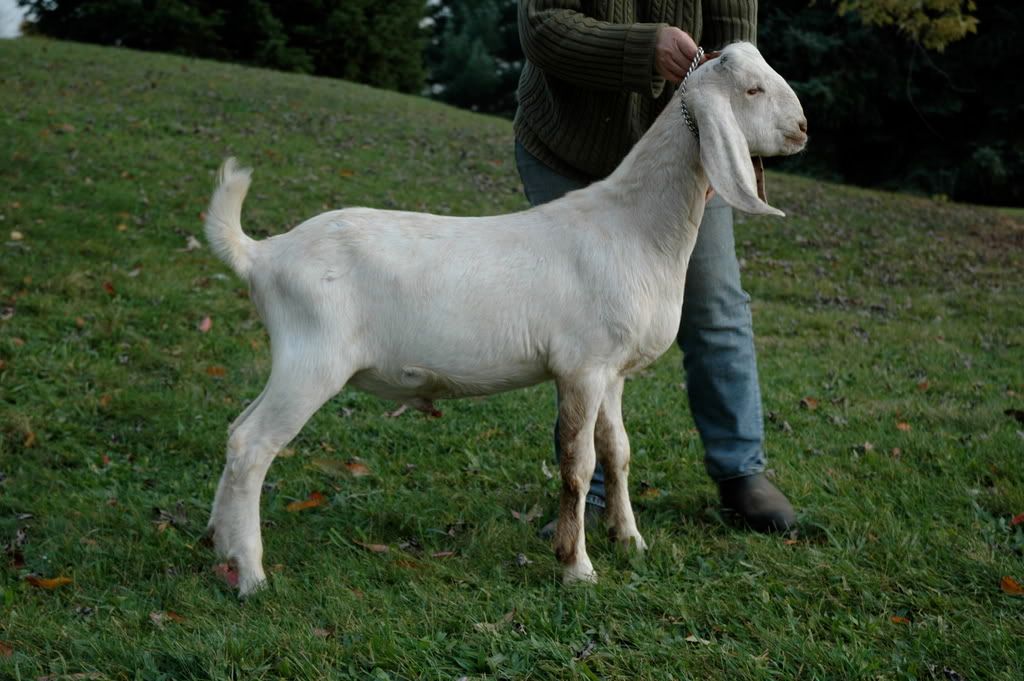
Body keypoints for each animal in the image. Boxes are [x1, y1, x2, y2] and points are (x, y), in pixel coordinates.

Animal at [203, 42, 807, 595]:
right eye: (752, 89)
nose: (803, 128)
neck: (633, 227)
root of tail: (262, 254)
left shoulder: (611, 372)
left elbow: (618, 452)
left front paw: (630, 540)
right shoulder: (581, 367)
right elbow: (577, 462)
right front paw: (576, 565)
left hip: (296, 360)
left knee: (235, 430)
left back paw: (219, 540)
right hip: (313, 360)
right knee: (252, 444)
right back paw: (251, 575)